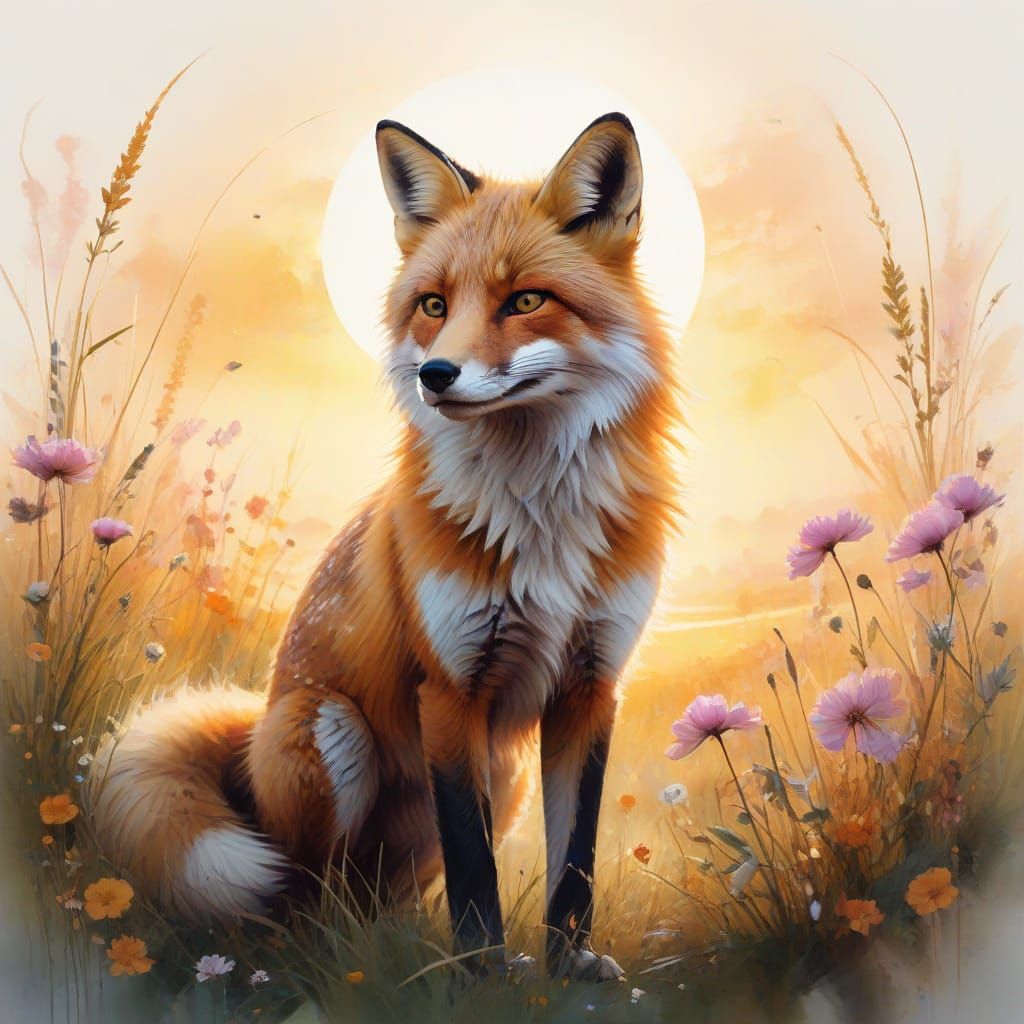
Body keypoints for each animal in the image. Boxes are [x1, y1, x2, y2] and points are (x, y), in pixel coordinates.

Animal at [90, 111, 680, 981]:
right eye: (433, 305)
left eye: (525, 301)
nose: (437, 375)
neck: (539, 519)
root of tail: (252, 738)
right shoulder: (450, 689)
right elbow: (474, 868)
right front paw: (483, 977)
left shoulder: (591, 685)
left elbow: (574, 862)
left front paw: (569, 970)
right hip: (336, 732)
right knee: (304, 893)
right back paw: (327, 962)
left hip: (501, 777)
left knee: (377, 899)